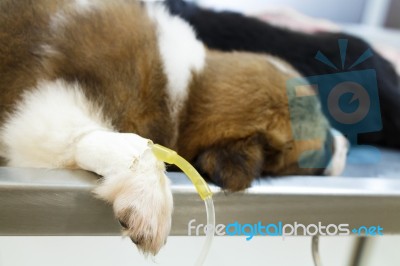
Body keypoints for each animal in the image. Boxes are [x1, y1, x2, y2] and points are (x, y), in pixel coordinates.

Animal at [0, 0, 346, 255]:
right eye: (325, 147)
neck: (185, 89)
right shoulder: (41, 109)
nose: (345, 143)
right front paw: (149, 195)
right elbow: (126, 143)